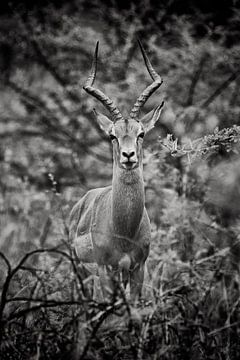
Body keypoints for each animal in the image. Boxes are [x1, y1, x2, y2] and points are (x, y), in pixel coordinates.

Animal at [68, 40, 164, 300]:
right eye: (112, 135)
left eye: (141, 133)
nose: (128, 155)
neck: (124, 231)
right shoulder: (105, 270)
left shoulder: (138, 269)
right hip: (82, 273)